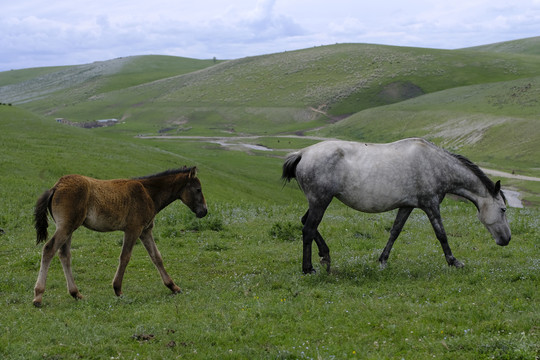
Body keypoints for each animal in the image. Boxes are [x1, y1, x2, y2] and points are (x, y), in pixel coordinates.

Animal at [282, 138, 510, 272]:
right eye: (503, 209)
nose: (506, 239)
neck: (434, 163)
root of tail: (302, 154)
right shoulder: (430, 204)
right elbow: (441, 234)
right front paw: (454, 261)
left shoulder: (407, 206)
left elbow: (395, 231)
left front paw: (383, 260)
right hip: (320, 200)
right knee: (308, 228)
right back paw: (308, 268)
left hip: (318, 201)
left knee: (306, 223)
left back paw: (325, 256)